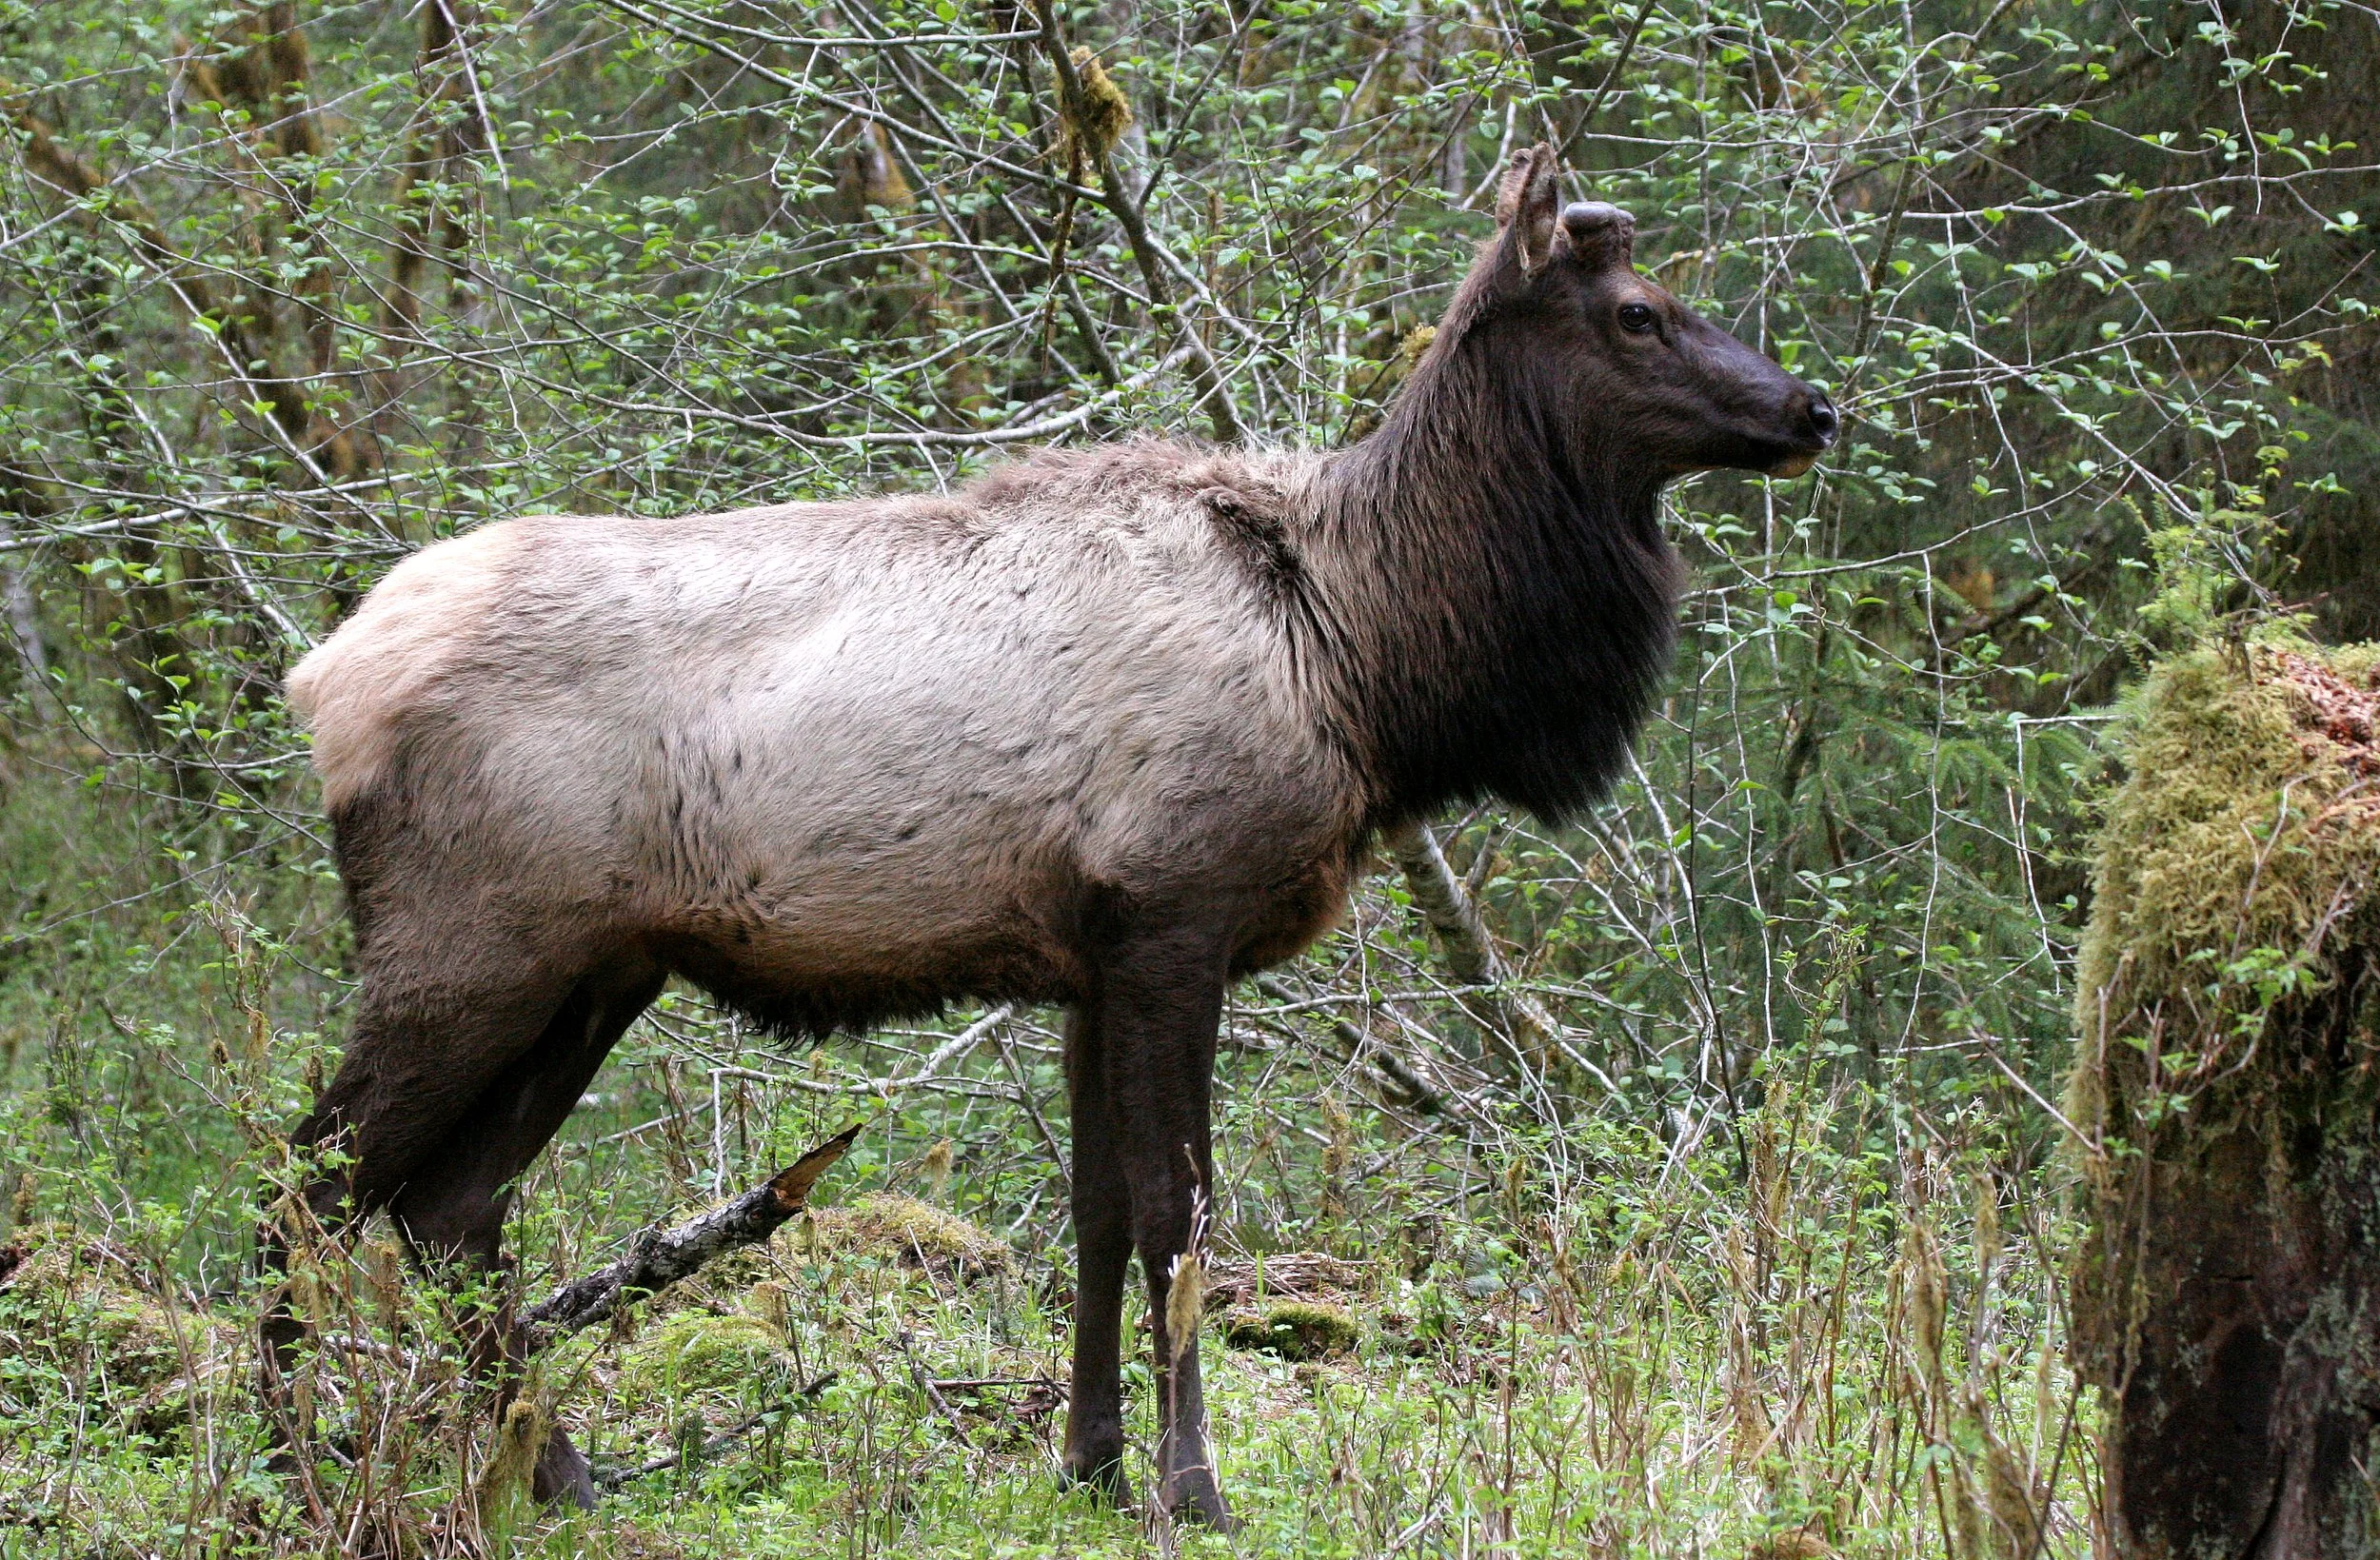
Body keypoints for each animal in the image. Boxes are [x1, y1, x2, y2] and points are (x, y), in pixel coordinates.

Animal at [266, 144, 1836, 1526]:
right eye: (1637, 311)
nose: (1814, 405)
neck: (1368, 663)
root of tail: (320, 680)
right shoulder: (1175, 914)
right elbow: (1178, 1215)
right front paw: (1195, 1487)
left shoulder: (1090, 954)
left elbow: (1092, 1214)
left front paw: (1089, 1464)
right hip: (468, 945)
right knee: (312, 1186)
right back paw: (291, 1468)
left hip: (595, 968)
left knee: (449, 1208)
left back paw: (564, 1475)